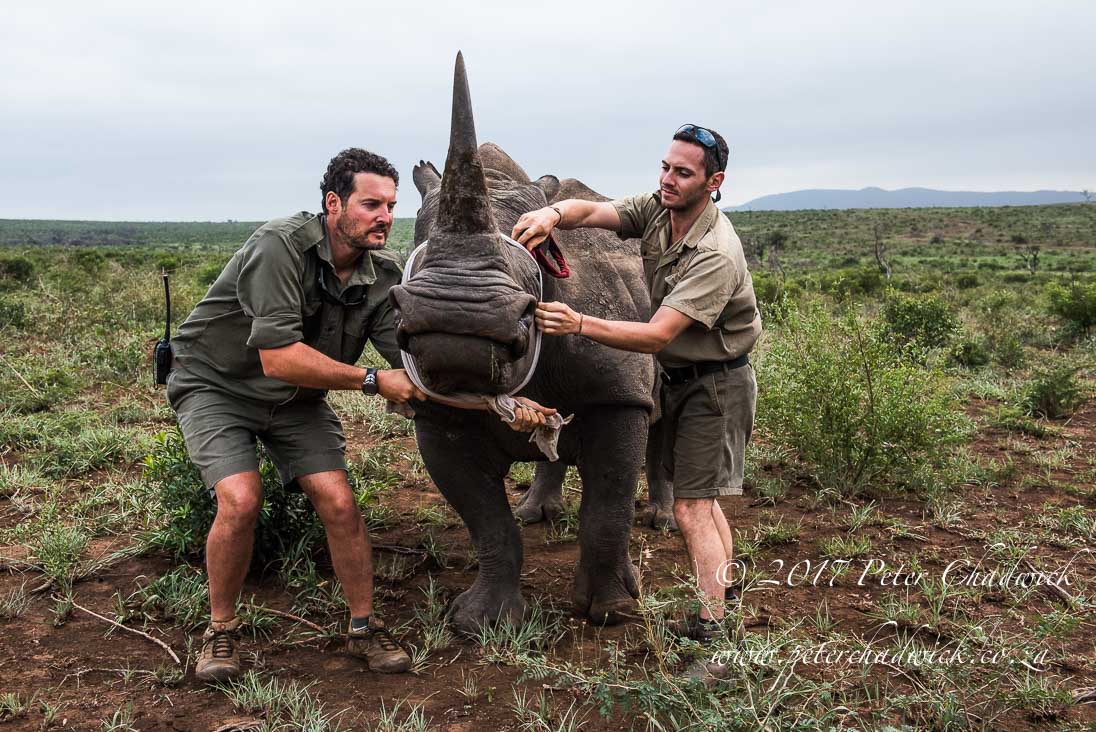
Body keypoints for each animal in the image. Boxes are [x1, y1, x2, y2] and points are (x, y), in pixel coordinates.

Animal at [388, 53, 658, 634]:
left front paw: (613, 612)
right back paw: (539, 513)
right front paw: (481, 622)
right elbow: (487, 522)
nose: (457, 318)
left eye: (535, 245)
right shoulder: (436, 416)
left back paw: (661, 525)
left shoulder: (621, 394)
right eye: (420, 242)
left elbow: (609, 503)